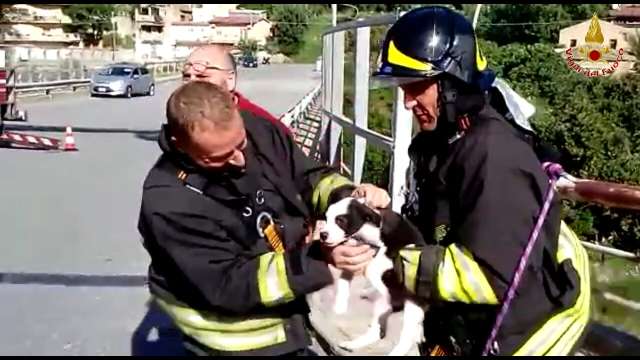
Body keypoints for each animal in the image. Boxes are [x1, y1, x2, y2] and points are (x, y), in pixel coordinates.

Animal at [318, 198, 424, 356]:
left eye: (340, 220)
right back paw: (353, 343)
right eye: (326, 218)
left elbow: (378, 262)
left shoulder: (393, 251)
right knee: (377, 332)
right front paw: (340, 304)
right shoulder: (354, 254)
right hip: (382, 307)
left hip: (412, 309)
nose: (322, 235)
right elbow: (345, 276)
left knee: (406, 339)